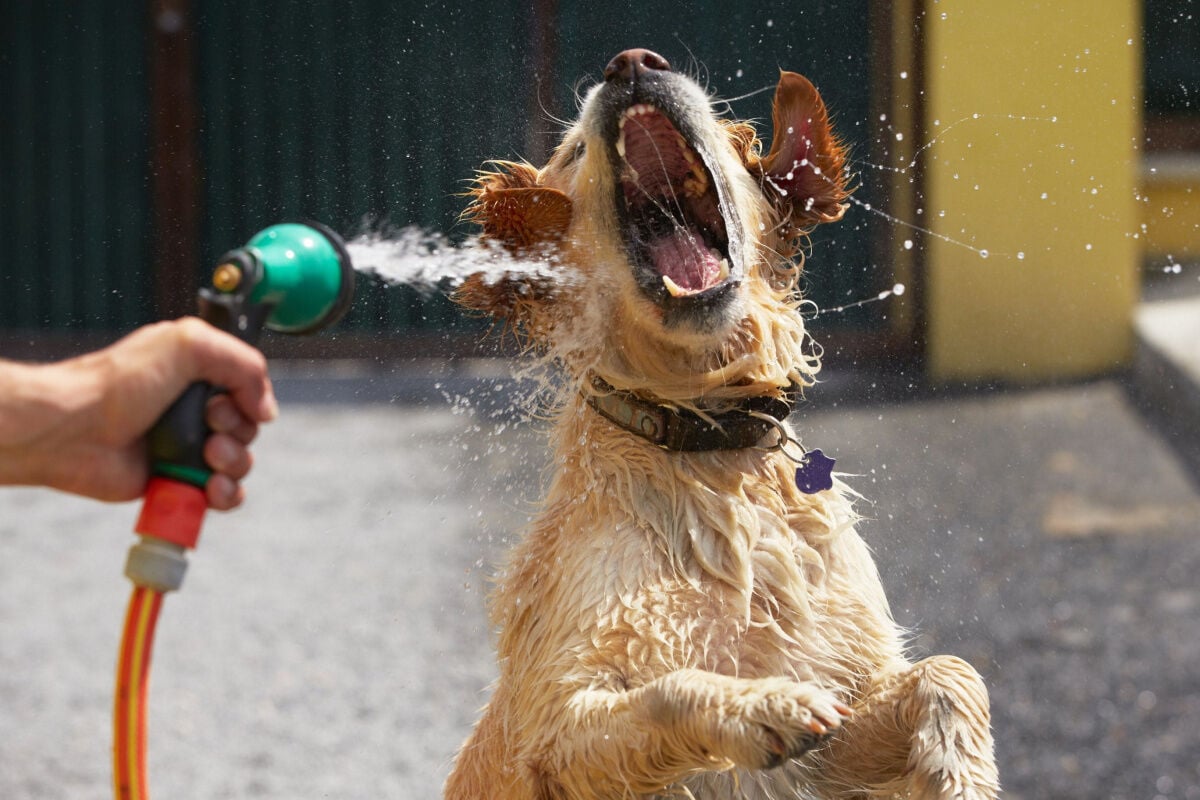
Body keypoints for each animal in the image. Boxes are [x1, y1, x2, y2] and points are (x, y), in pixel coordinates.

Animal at [446, 50, 998, 800]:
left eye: (728, 137)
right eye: (573, 152)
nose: (631, 63)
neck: (709, 443)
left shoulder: (840, 719)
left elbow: (950, 672)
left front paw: (961, 772)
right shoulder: (552, 732)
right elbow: (670, 688)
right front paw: (761, 706)